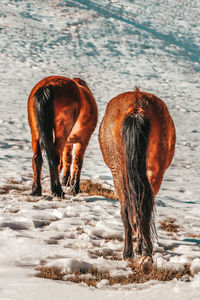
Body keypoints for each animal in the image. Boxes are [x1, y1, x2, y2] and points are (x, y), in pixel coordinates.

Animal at [99, 88, 176, 270]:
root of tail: (136, 107)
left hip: (119, 172)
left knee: (130, 209)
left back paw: (131, 252)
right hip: (153, 171)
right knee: (141, 207)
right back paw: (145, 255)